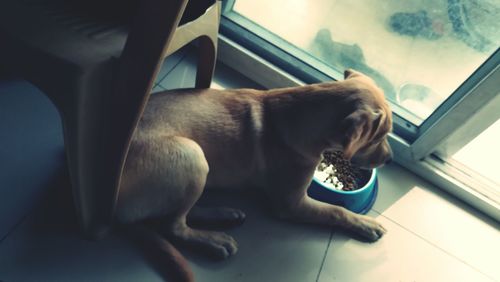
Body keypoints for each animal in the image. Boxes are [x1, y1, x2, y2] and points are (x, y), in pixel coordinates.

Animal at [116, 69, 390, 278]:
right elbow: (336, 210)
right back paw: (213, 240)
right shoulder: (292, 204)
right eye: (379, 138)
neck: (302, 116)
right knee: (172, 226)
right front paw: (364, 223)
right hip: (191, 155)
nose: (389, 158)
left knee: (179, 214)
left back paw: (223, 214)